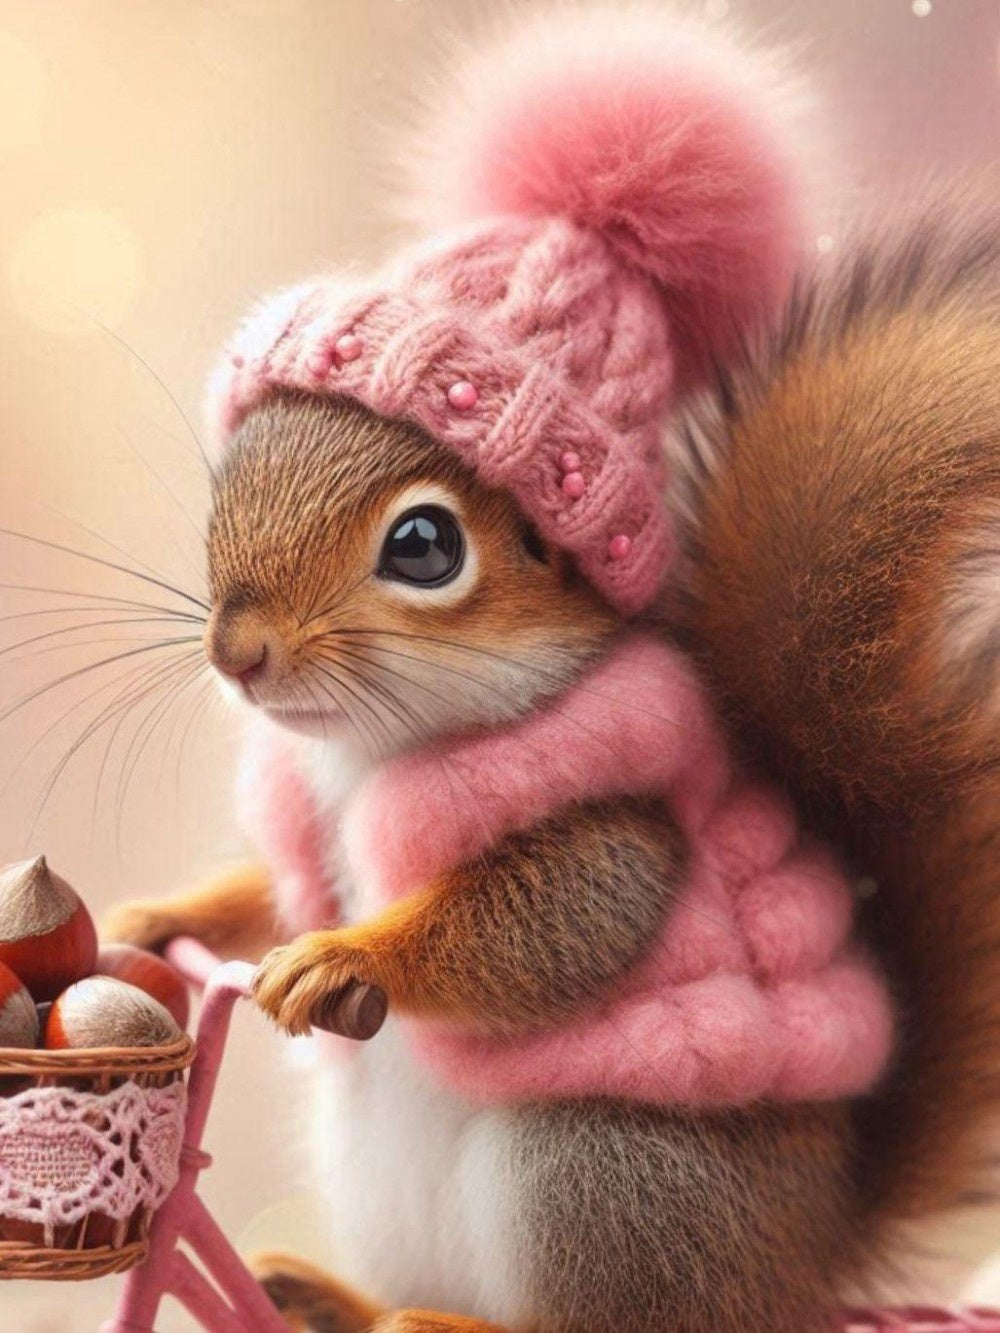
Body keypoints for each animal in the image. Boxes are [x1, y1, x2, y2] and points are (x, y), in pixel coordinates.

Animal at [102, 8, 1000, 1333]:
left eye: (424, 546)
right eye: (236, 469)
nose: (237, 648)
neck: (363, 753)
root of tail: (800, 1271)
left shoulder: (615, 814)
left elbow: (555, 922)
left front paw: (350, 956)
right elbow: (269, 890)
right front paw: (168, 916)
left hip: (605, 1176)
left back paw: (437, 1320)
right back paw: (332, 1294)